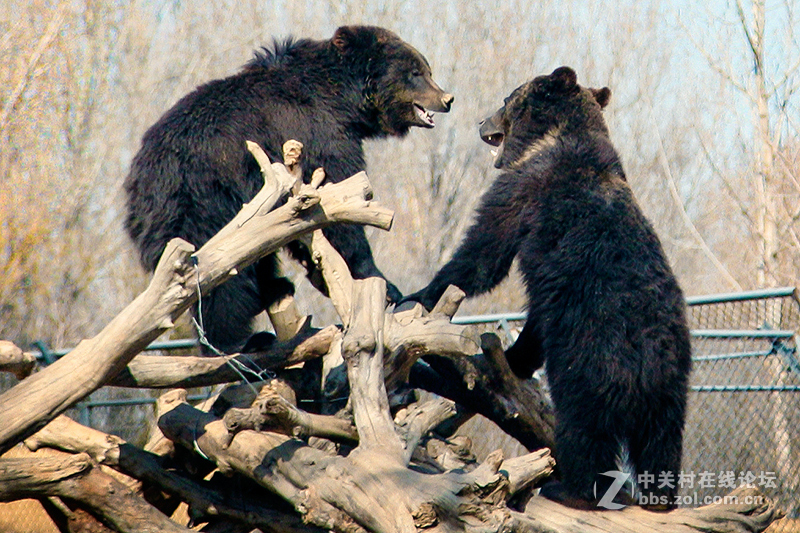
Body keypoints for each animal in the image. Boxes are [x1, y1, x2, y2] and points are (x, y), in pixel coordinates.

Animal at [123, 25, 450, 352]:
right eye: (415, 72)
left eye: (426, 69)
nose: (447, 97)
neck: (344, 103)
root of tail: (142, 178)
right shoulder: (318, 135)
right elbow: (339, 206)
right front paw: (385, 284)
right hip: (206, 200)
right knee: (221, 278)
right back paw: (236, 342)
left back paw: (275, 289)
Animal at [406, 67, 692, 512]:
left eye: (506, 98)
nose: (481, 121)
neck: (552, 138)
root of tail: (644, 362)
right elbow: (533, 319)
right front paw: (513, 357)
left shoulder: (527, 187)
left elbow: (485, 249)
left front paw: (419, 292)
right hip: (671, 387)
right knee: (661, 441)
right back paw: (658, 497)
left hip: (587, 357)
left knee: (582, 426)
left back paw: (570, 489)